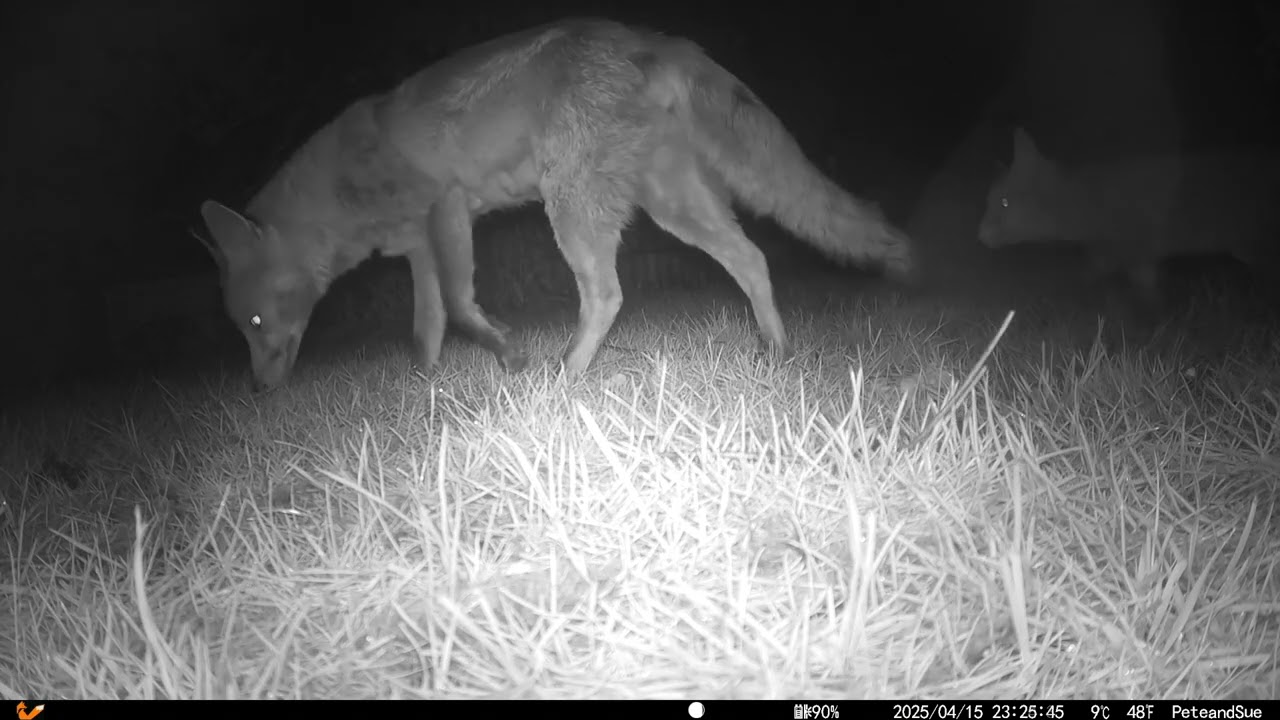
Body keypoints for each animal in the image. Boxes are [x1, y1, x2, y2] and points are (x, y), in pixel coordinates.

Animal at [199, 18, 914, 389]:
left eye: (256, 323)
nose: (260, 389)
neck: (350, 178)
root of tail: (652, 37)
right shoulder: (417, 247)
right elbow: (427, 327)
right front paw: (426, 389)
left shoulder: (447, 208)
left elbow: (460, 307)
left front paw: (510, 356)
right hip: (673, 205)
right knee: (753, 259)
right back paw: (775, 348)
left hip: (571, 205)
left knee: (608, 294)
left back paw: (566, 378)